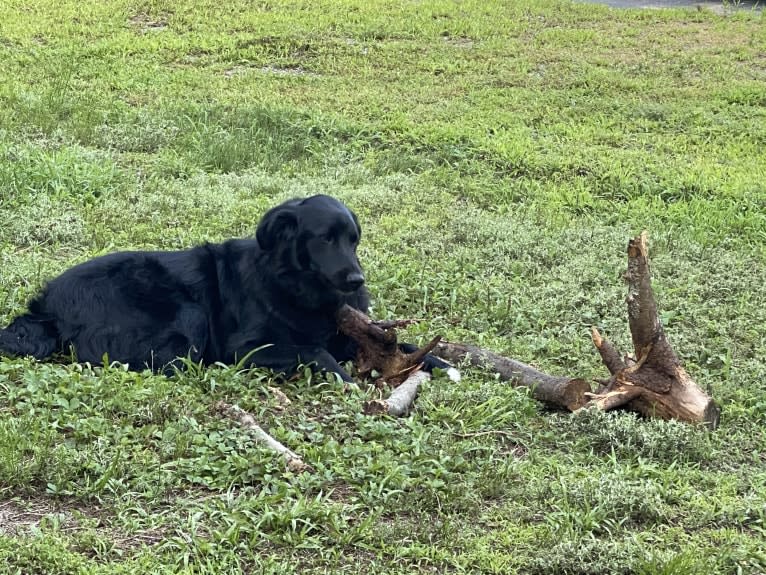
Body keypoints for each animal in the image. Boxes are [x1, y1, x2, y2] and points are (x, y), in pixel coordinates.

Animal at [0, 195, 456, 382]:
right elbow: (315, 351)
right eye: (325, 239)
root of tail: (46, 308)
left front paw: (443, 365)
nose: (357, 282)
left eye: (353, 240)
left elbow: (408, 346)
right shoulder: (248, 346)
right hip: (188, 312)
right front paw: (345, 380)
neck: (292, 285)